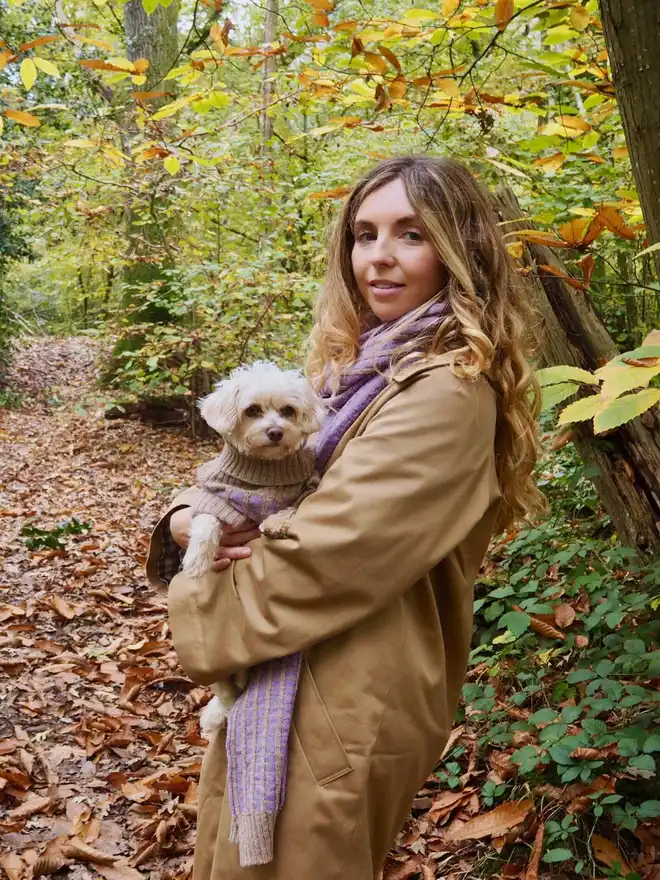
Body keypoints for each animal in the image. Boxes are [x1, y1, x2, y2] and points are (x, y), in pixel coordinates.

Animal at [182, 360, 324, 736]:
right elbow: (205, 524)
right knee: (226, 693)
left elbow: (290, 508)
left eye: (288, 411)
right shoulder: (216, 496)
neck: (264, 471)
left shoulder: (305, 488)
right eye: (253, 411)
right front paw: (197, 561)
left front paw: (275, 522)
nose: (275, 432)